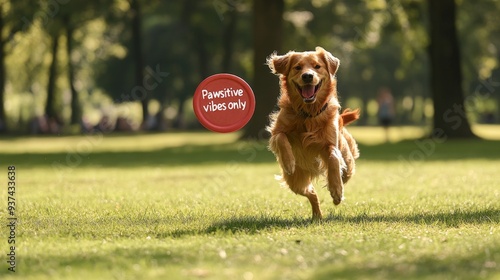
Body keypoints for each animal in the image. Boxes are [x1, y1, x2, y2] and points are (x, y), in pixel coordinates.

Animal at [266, 47, 360, 220]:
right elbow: (281, 137)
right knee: (312, 194)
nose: (307, 76)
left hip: (349, 162)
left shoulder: (331, 142)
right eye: (297, 67)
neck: (308, 113)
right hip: (296, 182)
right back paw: (317, 215)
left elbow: (333, 157)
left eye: (317, 66)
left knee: (345, 171)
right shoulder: (276, 132)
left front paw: (336, 189)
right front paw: (289, 161)